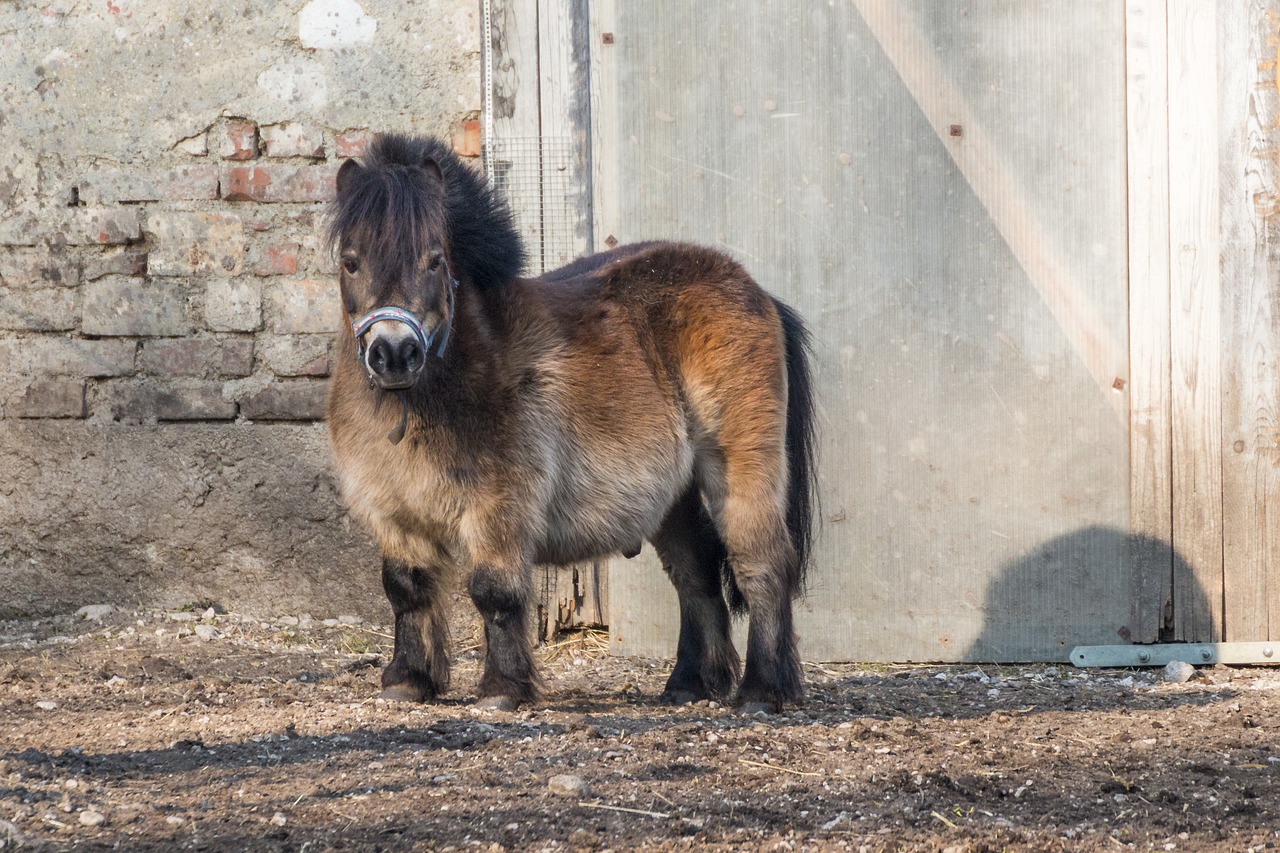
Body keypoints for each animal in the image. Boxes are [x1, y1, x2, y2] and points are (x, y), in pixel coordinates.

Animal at [325, 134, 814, 712]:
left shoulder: (500, 508)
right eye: (351, 263)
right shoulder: (393, 513)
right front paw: (408, 680)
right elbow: (405, 590)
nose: (395, 354)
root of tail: (754, 290)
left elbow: (494, 592)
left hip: (741, 469)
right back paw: (688, 684)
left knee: (762, 566)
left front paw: (502, 689)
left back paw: (762, 690)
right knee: (695, 579)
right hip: (674, 497)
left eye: (435, 261)